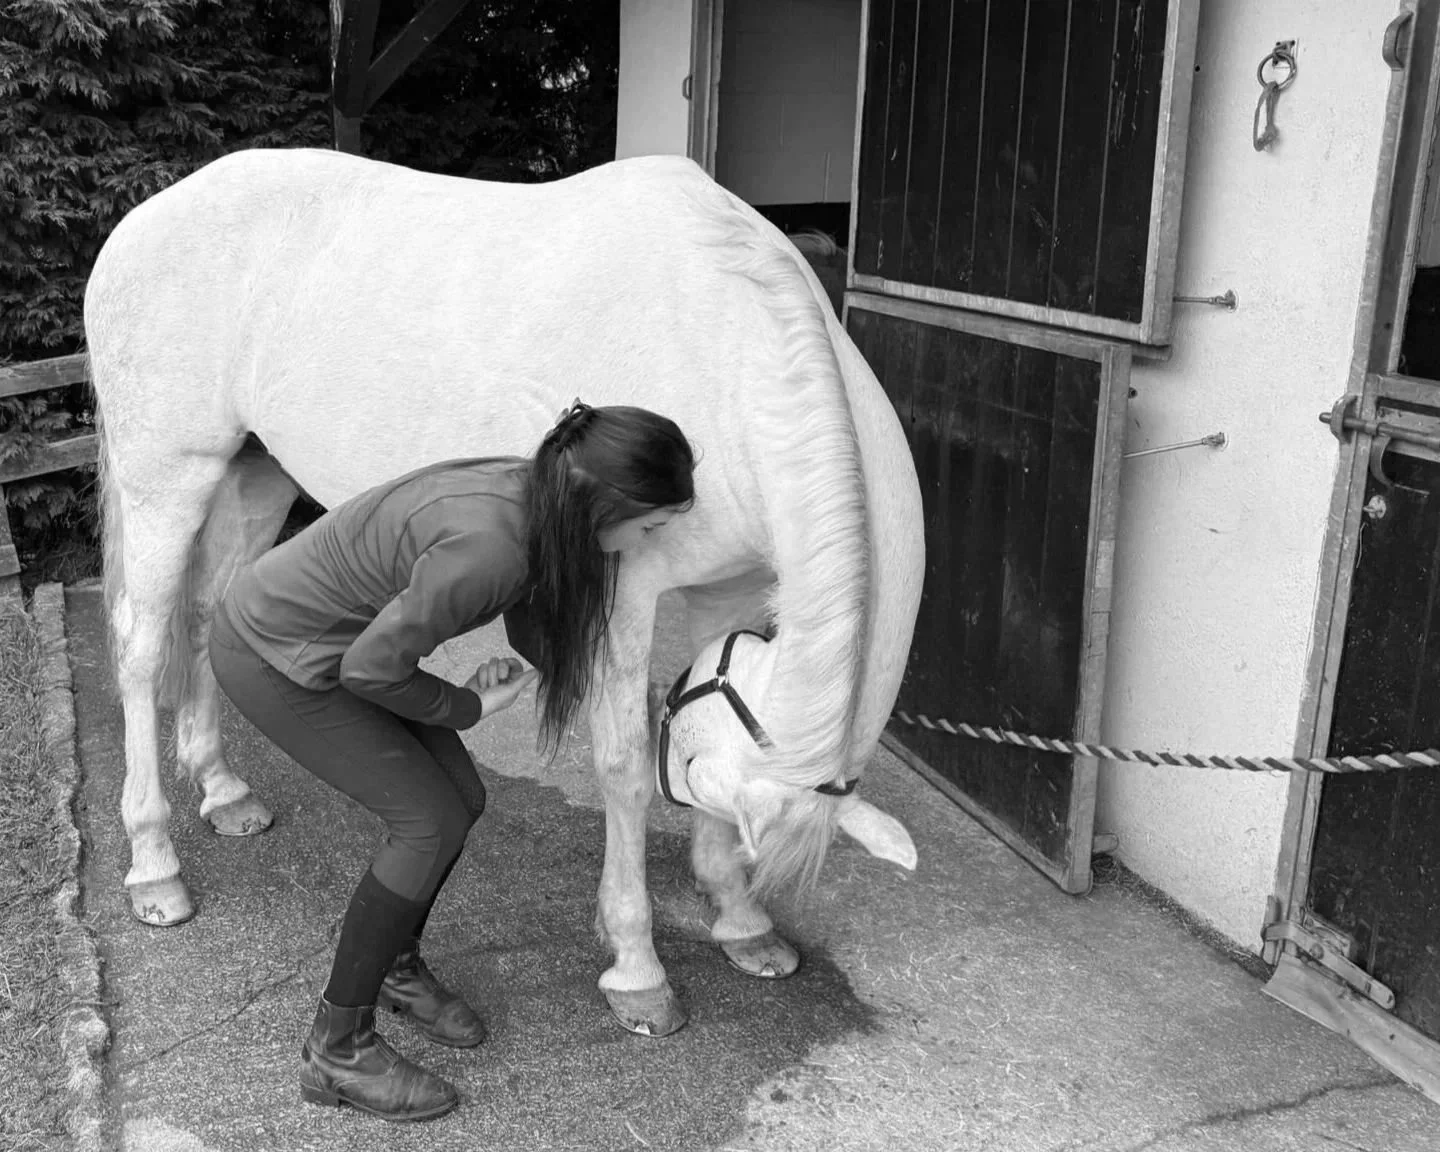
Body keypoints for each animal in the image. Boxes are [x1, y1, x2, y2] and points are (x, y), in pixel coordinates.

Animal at [84, 147, 926, 1037]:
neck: (727, 346)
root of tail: (142, 221)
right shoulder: (622, 594)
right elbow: (624, 768)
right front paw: (638, 968)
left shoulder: (733, 593)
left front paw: (741, 923)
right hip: (168, 480)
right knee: (142, 647)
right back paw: (155, 866)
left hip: (255, 473)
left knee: (207, 616)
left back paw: (223, 791)